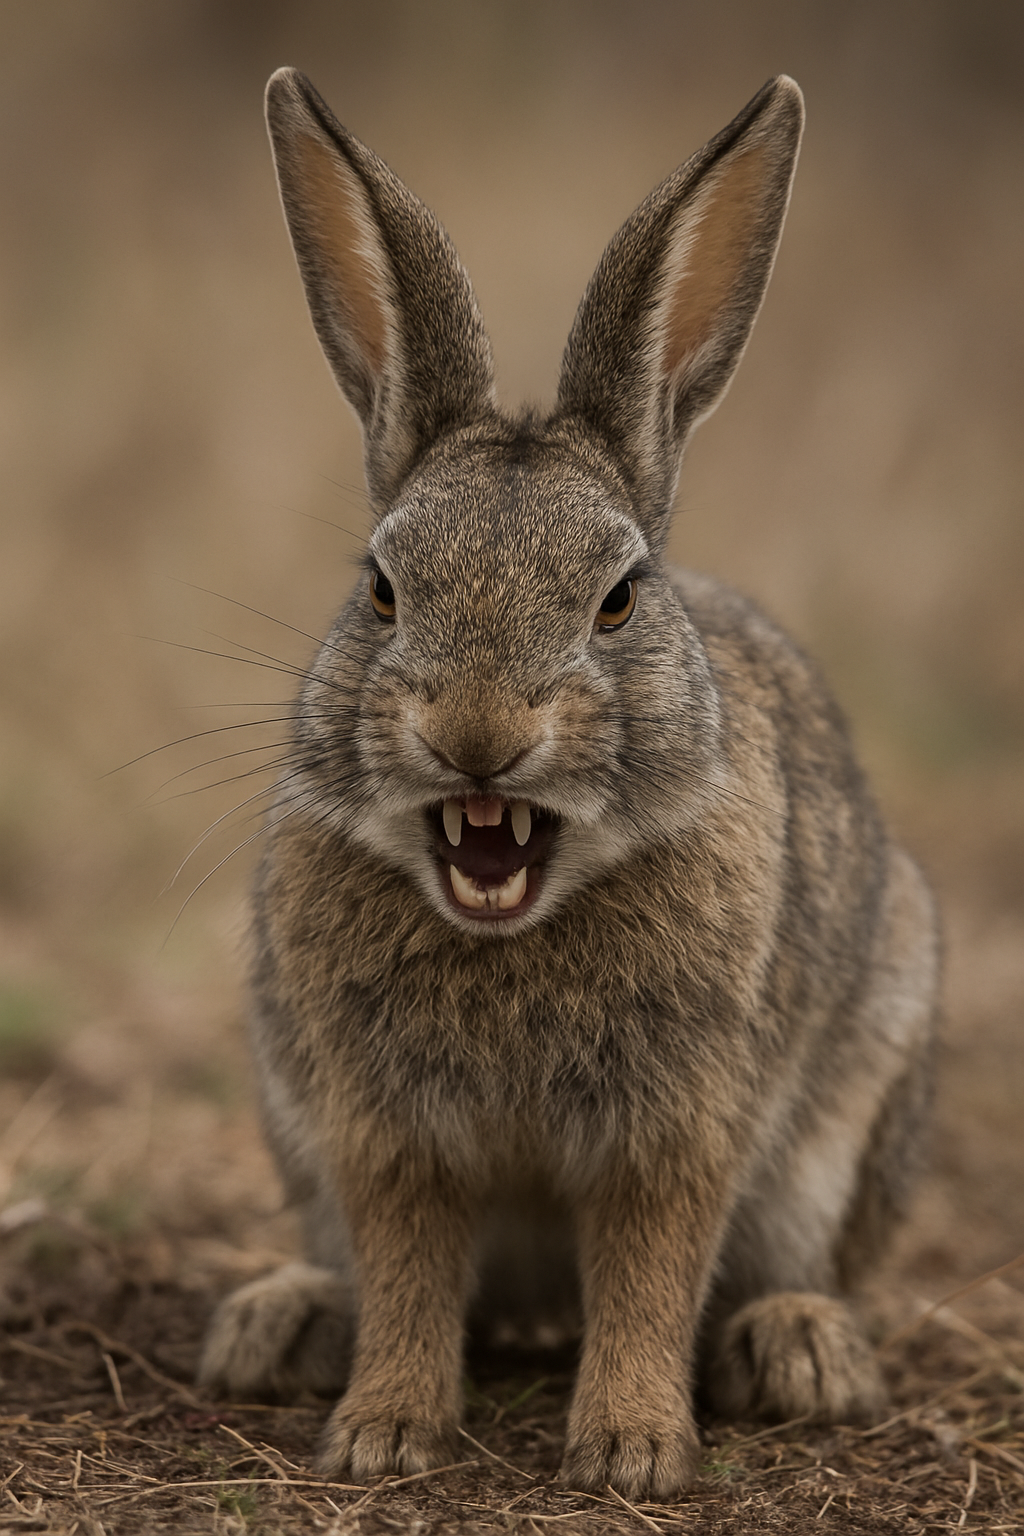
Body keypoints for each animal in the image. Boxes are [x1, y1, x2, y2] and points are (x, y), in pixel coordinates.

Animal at [198, 67, 939, 1501]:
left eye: (619, 598)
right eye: (382, 589)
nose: (478, 733)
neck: (515, 919)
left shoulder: (678, 1128)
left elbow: (650, 1278)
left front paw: (634, 1452)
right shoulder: (381, 1132)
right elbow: (411, 1276)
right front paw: (383, 1432)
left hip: (854, 1109)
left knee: (793, 1268)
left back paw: (799, 1347)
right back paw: (283, 1321)